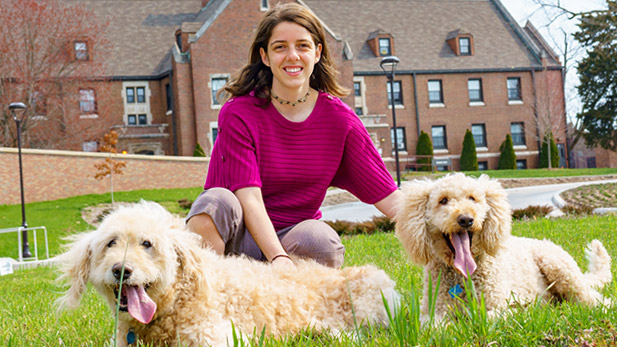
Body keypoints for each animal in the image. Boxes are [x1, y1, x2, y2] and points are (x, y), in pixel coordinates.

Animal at [394, 174, 612, 324]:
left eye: (472, 198)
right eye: (443, 200)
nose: (466, 219)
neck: (462, 275)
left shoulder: (500, 306)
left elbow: (484, 317)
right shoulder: (432, 312)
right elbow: (435, 326)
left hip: (559, 268)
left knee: (593, 299)